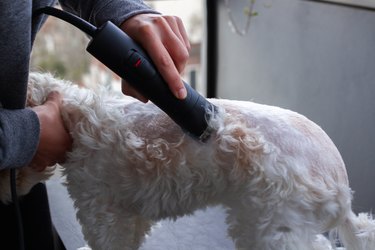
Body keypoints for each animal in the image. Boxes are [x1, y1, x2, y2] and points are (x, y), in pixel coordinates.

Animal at [0, 73, 375, 250]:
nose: (6, 199)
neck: (73, 119)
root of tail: (342, 191)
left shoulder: (101, 211)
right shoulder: (130, 214)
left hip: (271, 225)